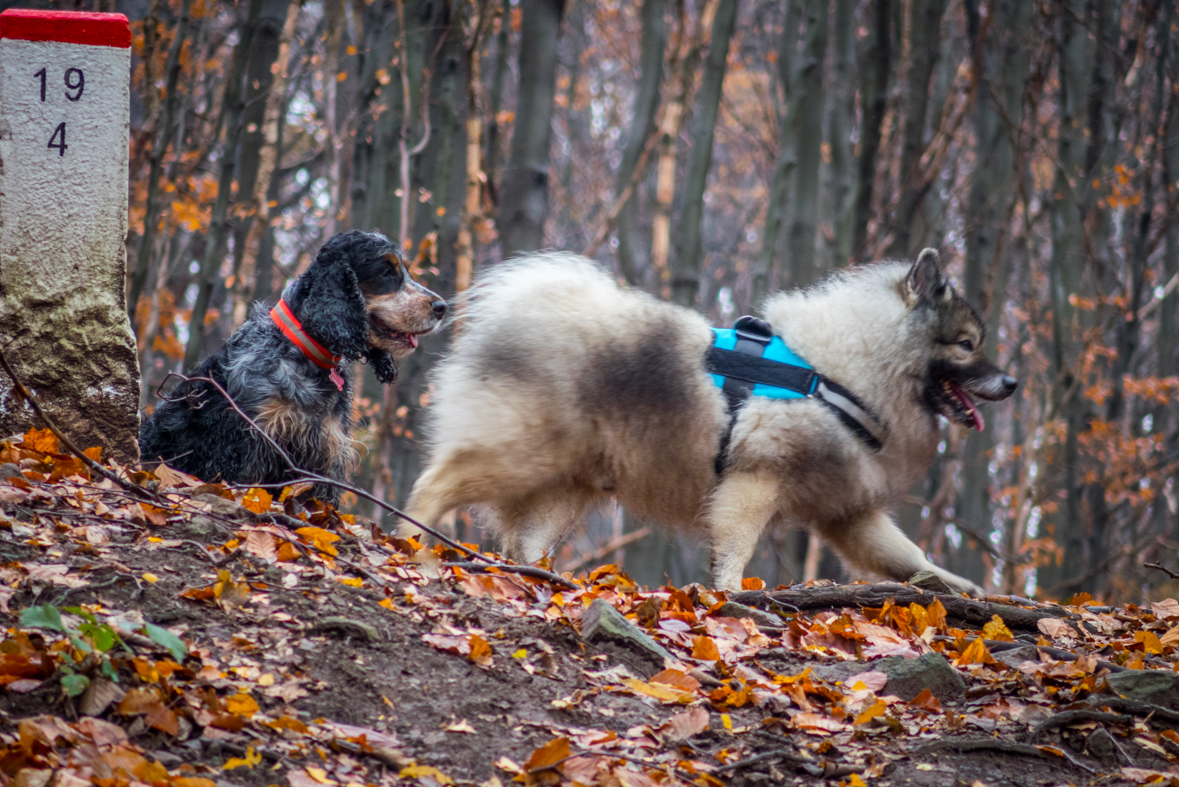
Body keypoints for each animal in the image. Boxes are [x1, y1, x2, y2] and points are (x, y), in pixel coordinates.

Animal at [403, 248, 1013, 593]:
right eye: (965, 345)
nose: (1010, 384)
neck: (842, 372)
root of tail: (518, 310)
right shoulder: (755, 481)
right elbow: (736, 546)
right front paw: (734, 594)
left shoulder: (849, 514)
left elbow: (910, 559)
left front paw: (965, 590)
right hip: (520, 454)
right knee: (433, 484)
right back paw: (410, 542)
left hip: (566, 482)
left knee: (525, 542)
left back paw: (539, 579)